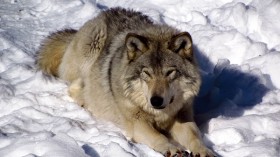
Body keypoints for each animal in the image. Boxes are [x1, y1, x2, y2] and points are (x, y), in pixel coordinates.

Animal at [37, 7, 215, 157]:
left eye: (170, 72)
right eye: (146, 73)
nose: (156, 101)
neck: (158, 114)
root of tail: (102, 14)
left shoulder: (183, 116)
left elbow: (194, 137)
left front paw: (204, 151)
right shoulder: (137, 123)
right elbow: (158, 137)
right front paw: (172, 148)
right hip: (93, 46)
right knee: (74, 88)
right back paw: (86, 102)